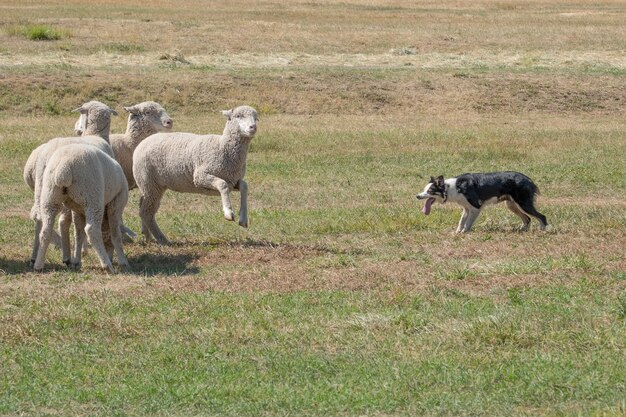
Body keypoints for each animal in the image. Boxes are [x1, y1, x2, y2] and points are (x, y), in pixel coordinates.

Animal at [25, 99, 117, 264]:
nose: (76, 128)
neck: (95, 134)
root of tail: (47, 155)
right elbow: (75, 224)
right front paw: (81, 252)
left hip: (43, 188)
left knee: (39, 217)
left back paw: (35, 256)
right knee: (62, 221)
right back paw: (67, 255)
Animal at [33, 144, 129, 272]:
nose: (111, 257)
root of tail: (64, 167)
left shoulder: (78, 209)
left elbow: (78, 234)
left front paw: (77, 261)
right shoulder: (116, 204)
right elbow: (115, 234)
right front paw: (123, 261)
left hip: (50, 196)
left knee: (45, 231)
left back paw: (38, 265)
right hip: (92, 198)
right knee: (91, 230)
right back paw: (107, 265)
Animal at [133, 104, 258, 245]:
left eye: (256, 118)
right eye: (238, 116)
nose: (253, 127)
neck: (223, 146)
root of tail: (144, 141)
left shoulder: (233, 179)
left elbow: (244, 186)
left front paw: (243, 219)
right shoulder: (200, 177)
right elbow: (223, 185)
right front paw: (228, 212)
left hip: (153, 186)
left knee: (143, 207)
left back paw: (147, 235)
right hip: (148, 182)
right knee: (146, 212)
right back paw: (162, 239)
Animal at [416, 171, 544, 232]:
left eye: (430, 191)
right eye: (424, 190)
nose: (417, 196)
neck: (451, 188)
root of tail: (529, 180)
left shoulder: (476, 207)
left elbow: (467, 223)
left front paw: (464, 233)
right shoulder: (466, 209)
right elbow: (461, 221)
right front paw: (457, 232)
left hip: (524, 204)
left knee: (542, 217)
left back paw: (542, 230)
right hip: (512, 205)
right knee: (527, 219)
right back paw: (520, 230)